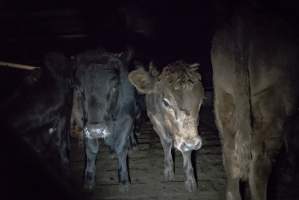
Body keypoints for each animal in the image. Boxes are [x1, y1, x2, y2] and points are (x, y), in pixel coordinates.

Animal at [75, 48, 137, 191]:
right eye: (80, 90)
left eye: (114, 87)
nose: (96, 130)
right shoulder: (85, 123)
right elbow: (91, 150)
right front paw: (89, 180)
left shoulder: (126, 119)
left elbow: (121, 147)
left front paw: (124, 180)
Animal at [127, 61, 205, 192]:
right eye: (165, 102)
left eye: (200, 102)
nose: (191, 143)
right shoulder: (156, 121)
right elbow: (167, 142)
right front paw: (169, 171)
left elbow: (187, 150)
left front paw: (190, 181)